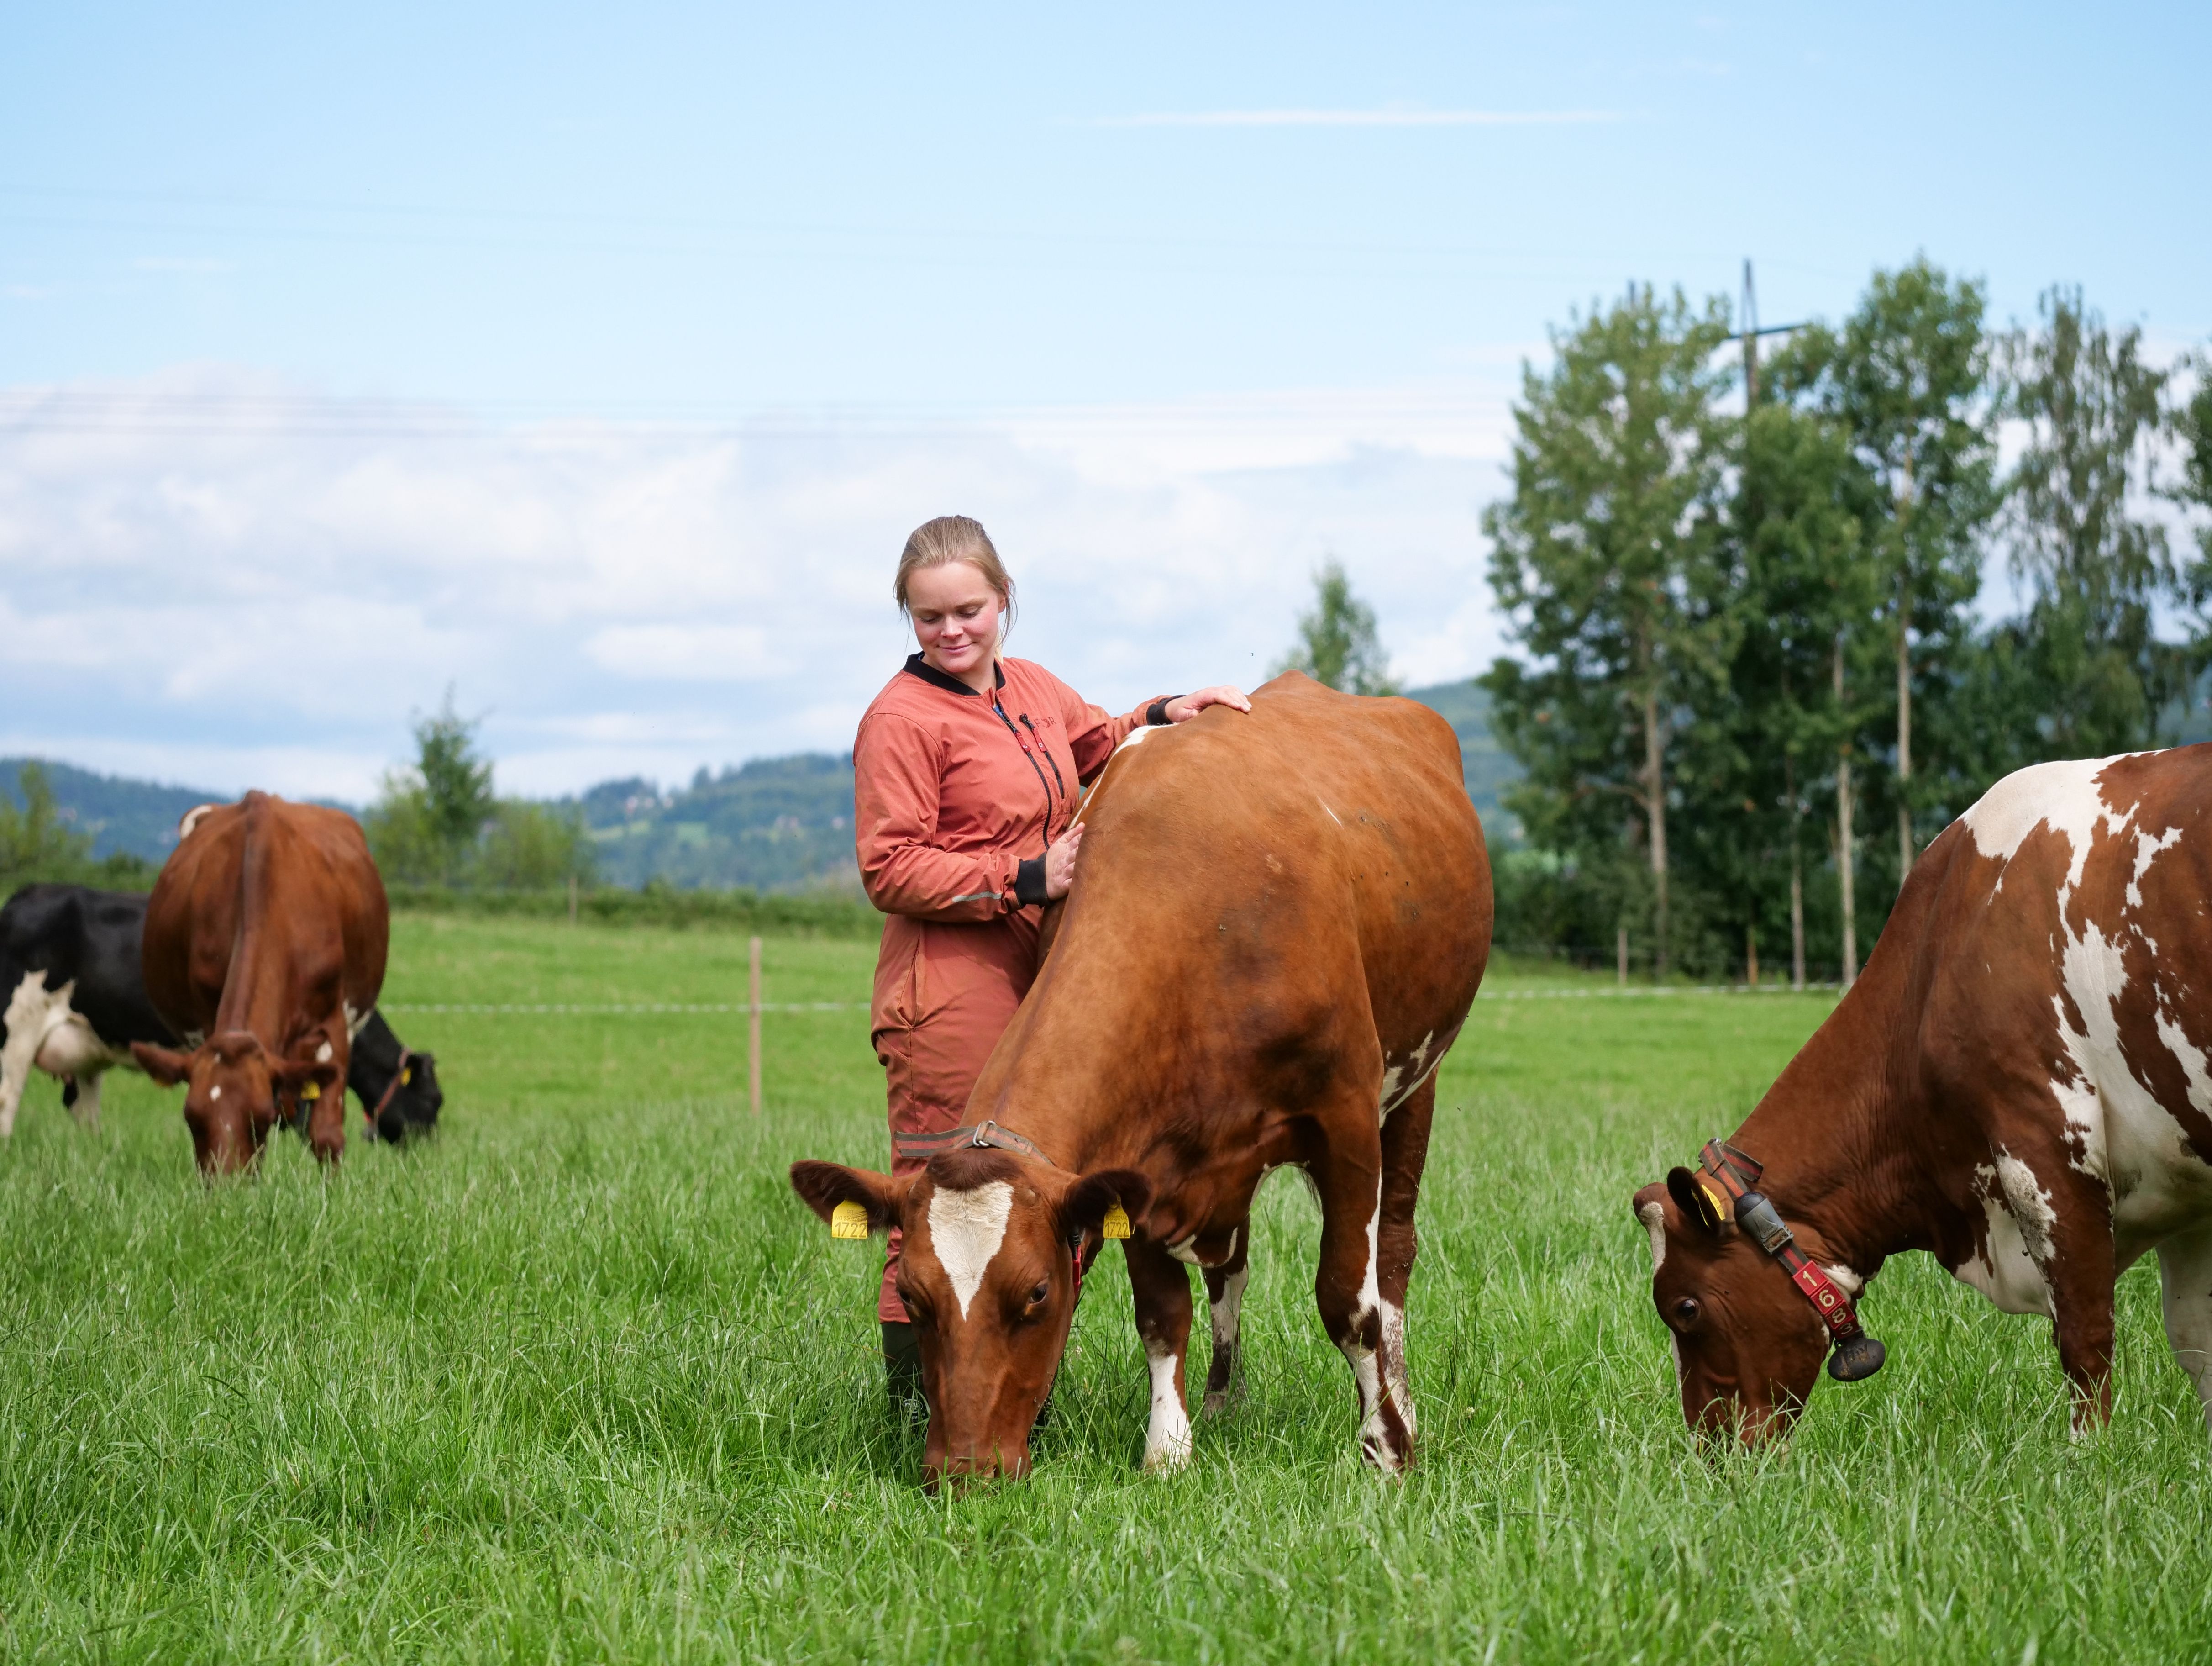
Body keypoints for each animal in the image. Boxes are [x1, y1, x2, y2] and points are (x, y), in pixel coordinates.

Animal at [132, 793, 390, 1173]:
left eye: (261, 1119)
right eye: (193, 1120)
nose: (227, 1184)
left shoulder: (334, 1024)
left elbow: (327, 1135)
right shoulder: (207, 1017)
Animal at [791, 672, 1493, 1483]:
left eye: (1037, 1292)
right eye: (910, 1293)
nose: (962, 1472)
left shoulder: (1343, 1118)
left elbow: (1350, 1298)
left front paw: (1385, 1450)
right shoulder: (1138, 1160)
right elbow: (1162, 1312)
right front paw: (1170, 1449)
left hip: (1415, 1081)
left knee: (1395, 1256)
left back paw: (1400, 1406)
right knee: (1230, 1270)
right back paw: (1224, 1403)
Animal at [1636, 748, 2212, 1446]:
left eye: (1685, 1308)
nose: (1710, 1450)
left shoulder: (2046, 1148)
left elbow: (2084, 1336)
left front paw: (2088, 1456)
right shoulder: (2183, 1182)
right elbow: (2197, 1340)